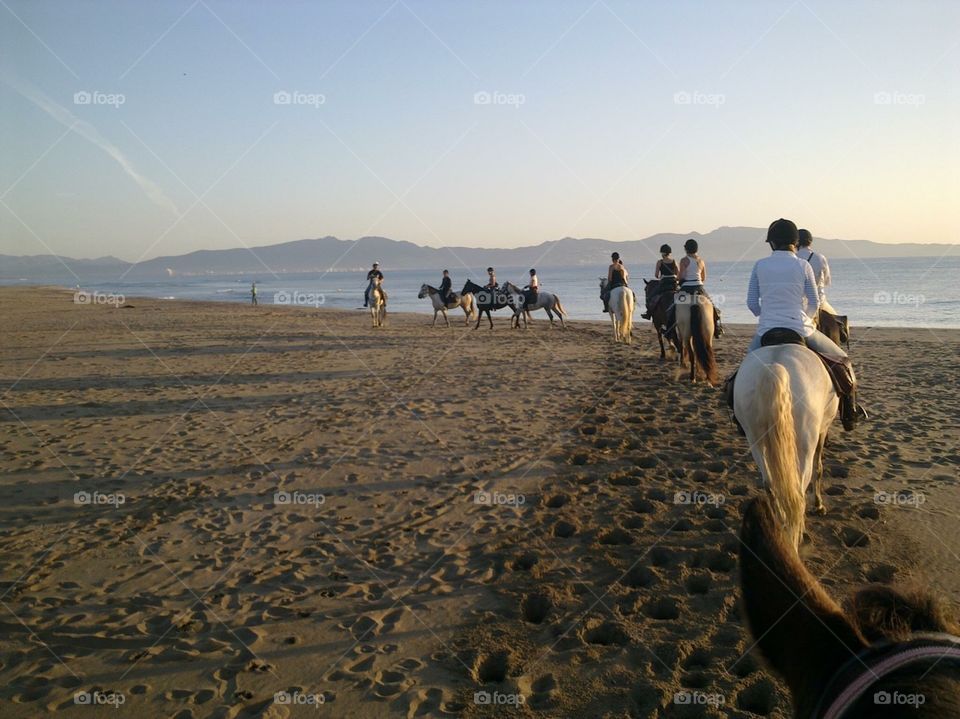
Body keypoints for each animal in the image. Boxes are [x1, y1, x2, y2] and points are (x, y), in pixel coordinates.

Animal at [740, 344, 836, 552]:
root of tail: (772, 369)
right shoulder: (823, 429)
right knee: (798, 491)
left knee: (770, 484)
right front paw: (819, 505)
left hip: (755, 440)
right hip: (805, 445)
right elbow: (819, 468)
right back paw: (798, 535)